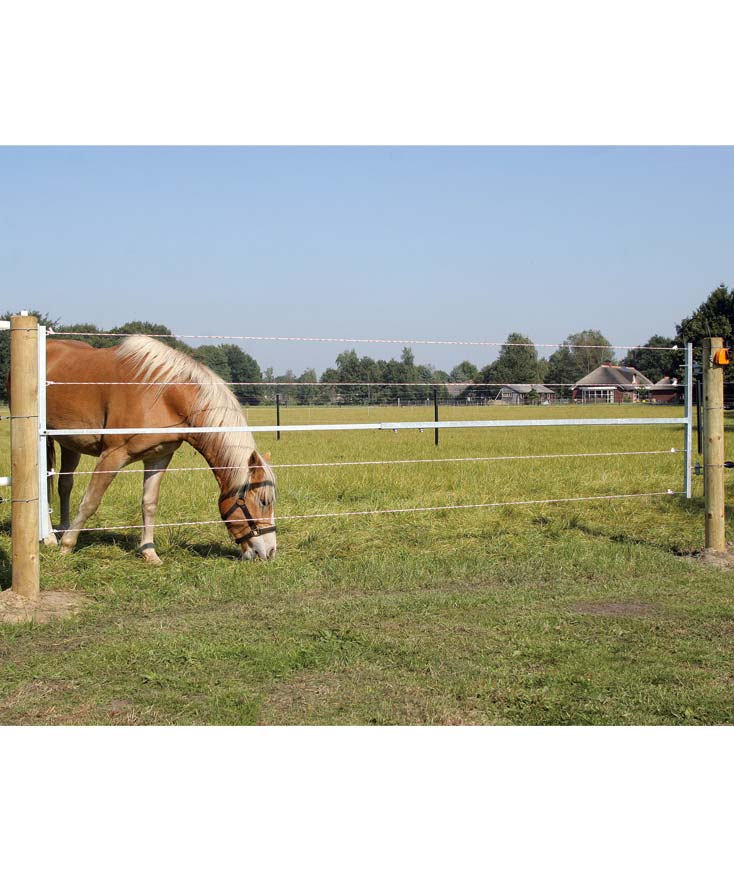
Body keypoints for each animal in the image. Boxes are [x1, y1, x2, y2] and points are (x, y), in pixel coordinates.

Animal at [44, 334, 278, 564]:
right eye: (264, 501)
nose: (269, 552)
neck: (163, 394)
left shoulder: (159, 457)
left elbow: (149, 503)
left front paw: (150, 553)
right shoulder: (112, 455)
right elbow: (90, 501)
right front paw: (67, 546)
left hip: (69, 444)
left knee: (64, 485)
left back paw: (62, 528)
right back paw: (50, 538)